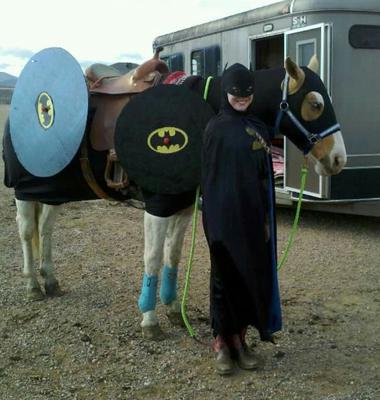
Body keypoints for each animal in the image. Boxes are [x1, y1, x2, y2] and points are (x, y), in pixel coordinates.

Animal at [2, 53, 348, 340]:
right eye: (315, 104)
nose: (338, 160)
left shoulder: (181, 206)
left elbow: (173, 257)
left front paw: (171, 309)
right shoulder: (157, 207)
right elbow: (153, 258)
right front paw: (149, 318)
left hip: (53, 192)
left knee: (46, 229)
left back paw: (50, 279)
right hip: (25, 191)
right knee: (27, 231)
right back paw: (32, 284)